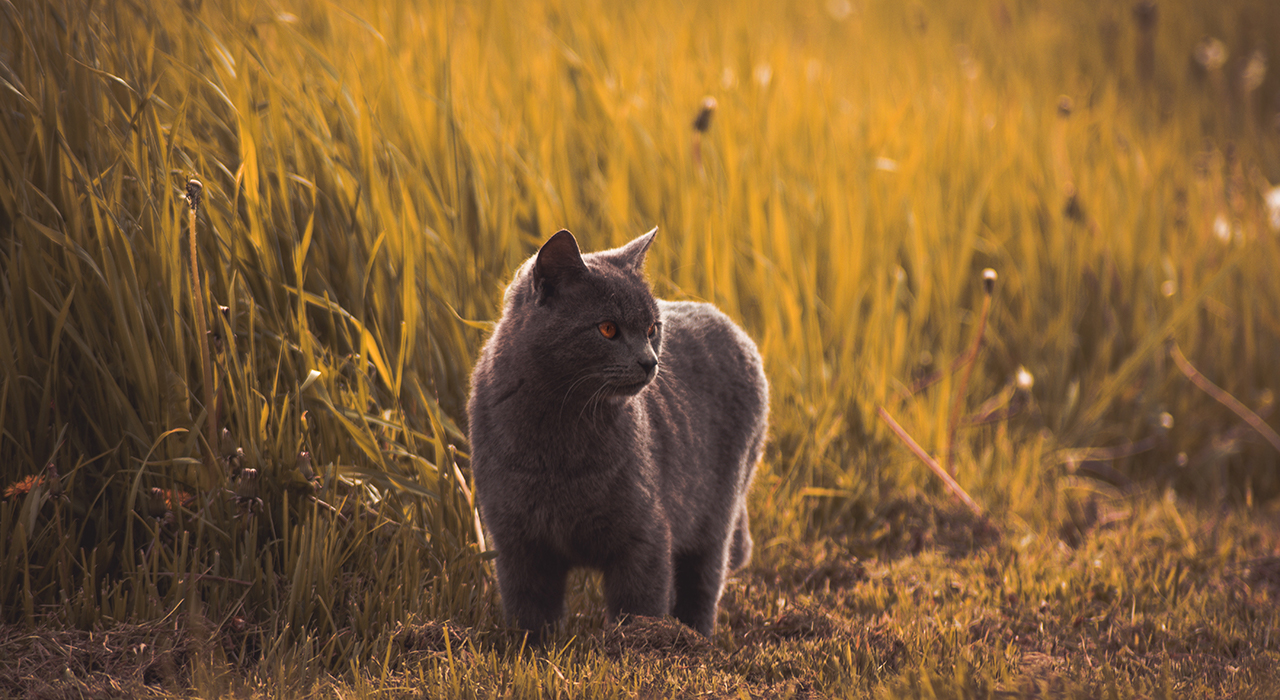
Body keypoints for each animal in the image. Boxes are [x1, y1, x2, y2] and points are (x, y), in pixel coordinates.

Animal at [471, 229, 768, 639]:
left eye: (652, 329)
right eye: (608, 328)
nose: (650, 361)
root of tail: (732, 324)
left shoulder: (646, 535)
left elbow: (639, 604)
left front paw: (641, 644)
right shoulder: (517, 540)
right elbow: (529, 609)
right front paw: (530, 646)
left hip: (716, 512)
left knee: (705, 581)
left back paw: (695, 638)